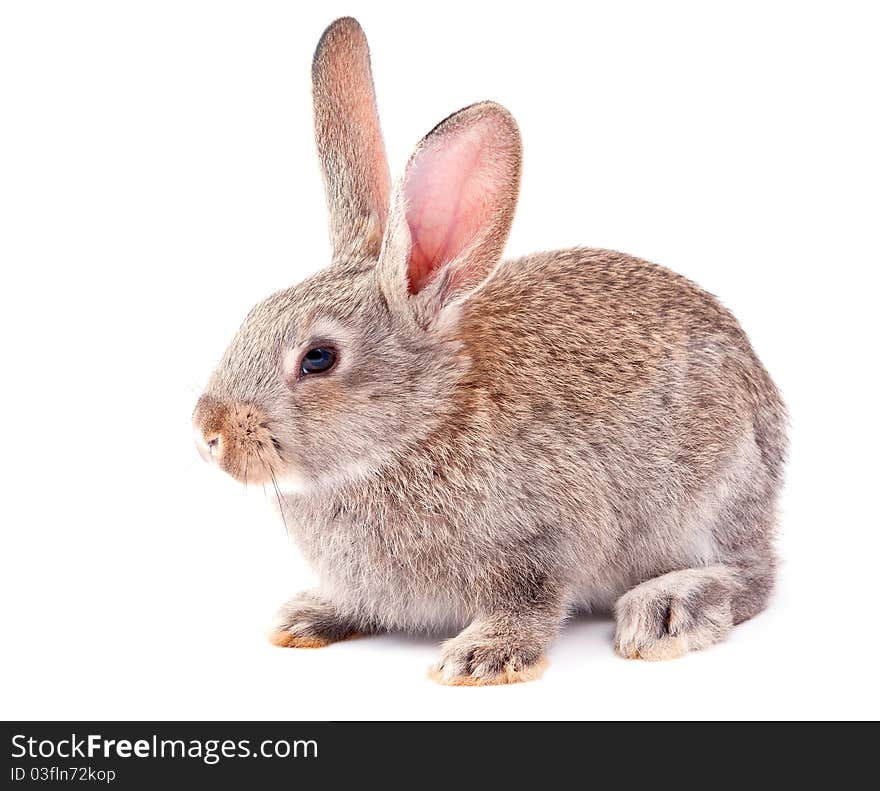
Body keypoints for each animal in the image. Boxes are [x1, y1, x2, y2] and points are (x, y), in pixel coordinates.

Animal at [191, 18, 784, 688]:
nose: (208, 433)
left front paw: (482, 657)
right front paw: (307, 617)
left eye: (318, 358)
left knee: (753, 576)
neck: (418, 427)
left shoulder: (541, 542)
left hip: (715, 494)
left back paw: (666, 610)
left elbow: (529, 602)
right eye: (251, 316)